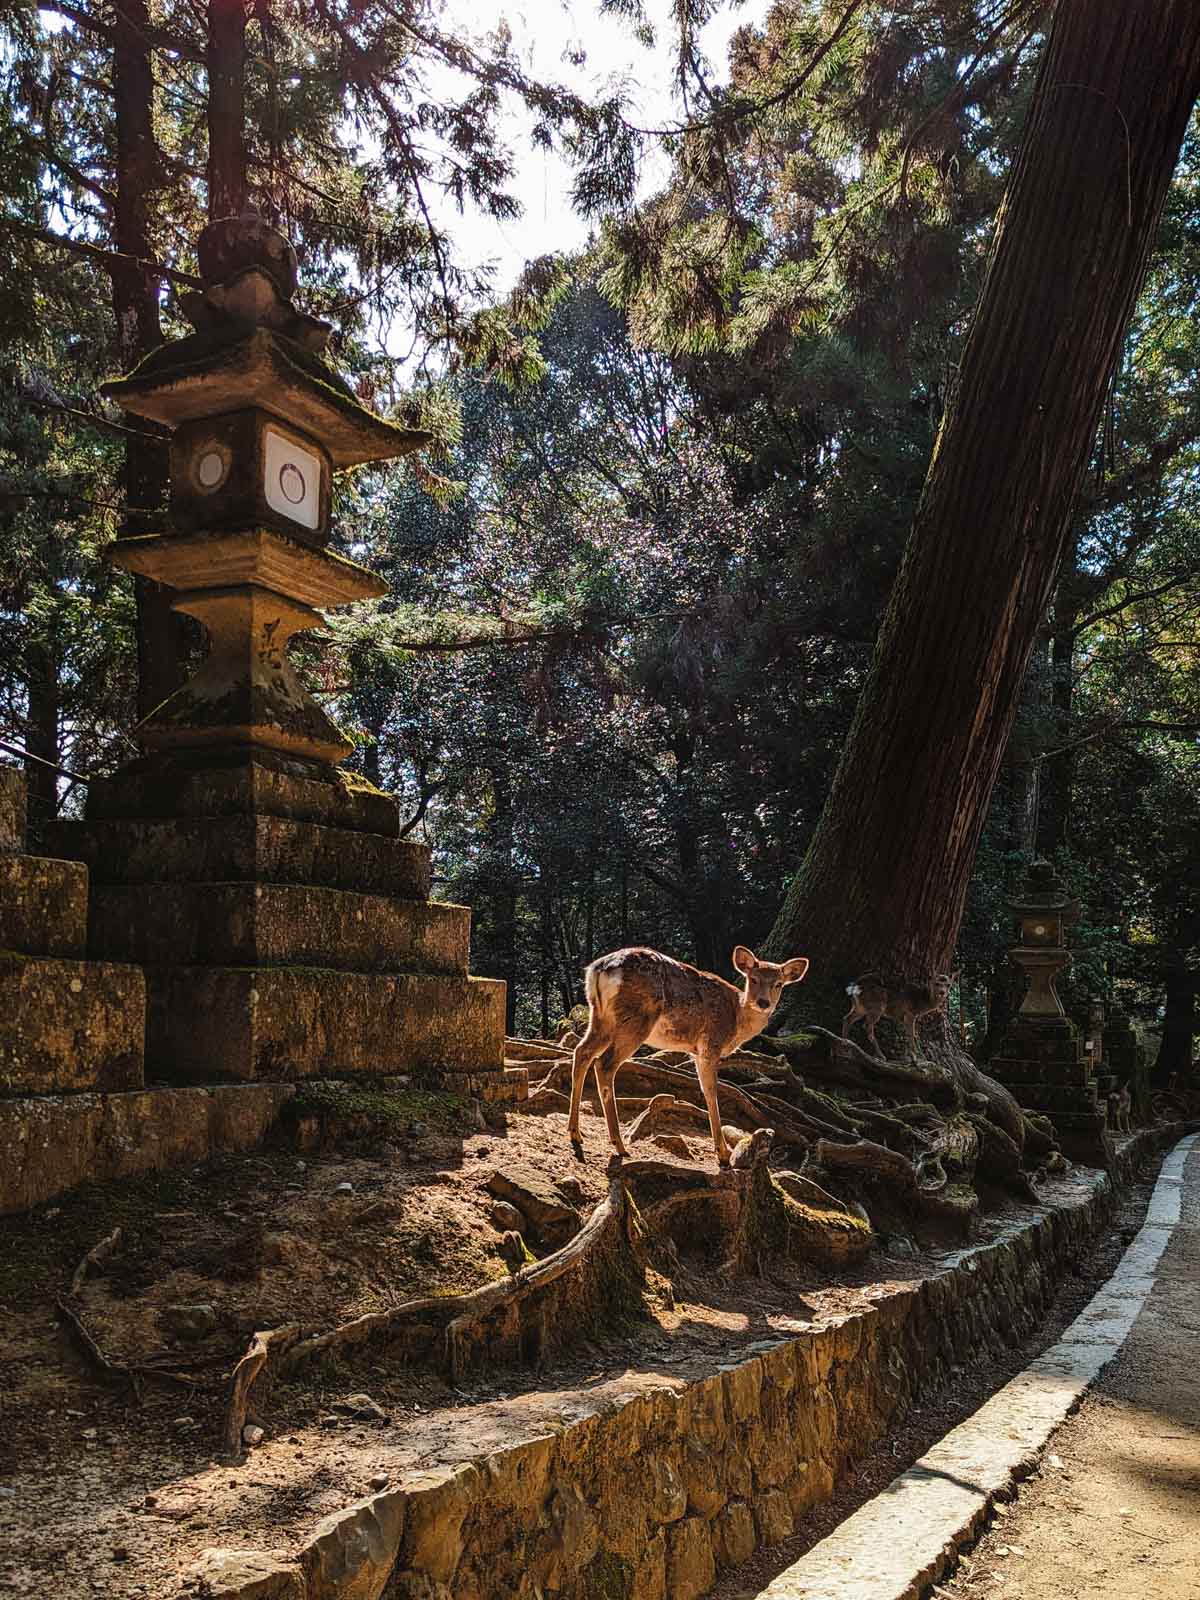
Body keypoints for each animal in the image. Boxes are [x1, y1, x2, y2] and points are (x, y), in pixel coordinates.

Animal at [563, 940, 809, 1171]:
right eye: (753, 979)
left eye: (778, 984)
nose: (763, 1002)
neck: (736, 1021)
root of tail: (598, 970)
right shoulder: (710, 1044)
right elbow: (711, 1092)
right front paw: (723, 1154)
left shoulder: (697, 1052)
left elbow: (705, 1090)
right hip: (635, 1019)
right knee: (604, 1064)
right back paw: (619, 1145)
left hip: (600, 1015)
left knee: (582, 1052)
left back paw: (575, 1132)